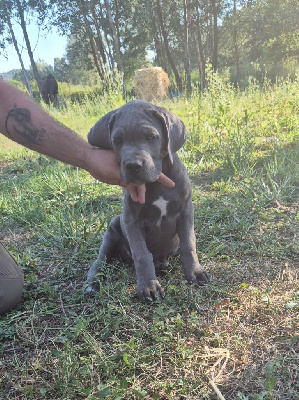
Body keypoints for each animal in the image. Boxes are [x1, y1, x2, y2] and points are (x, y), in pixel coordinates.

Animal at [85, 100, 210, 300]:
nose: (133, 166)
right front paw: (149, 286)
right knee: (100, 260)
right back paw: (93, 283)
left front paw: (195, 272)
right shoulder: (131, 220)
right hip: (112, 228)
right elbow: (142, 255)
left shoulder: (185, 210)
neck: (156, 182)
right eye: (117, 140)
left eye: (151, 136)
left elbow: (189, 244)